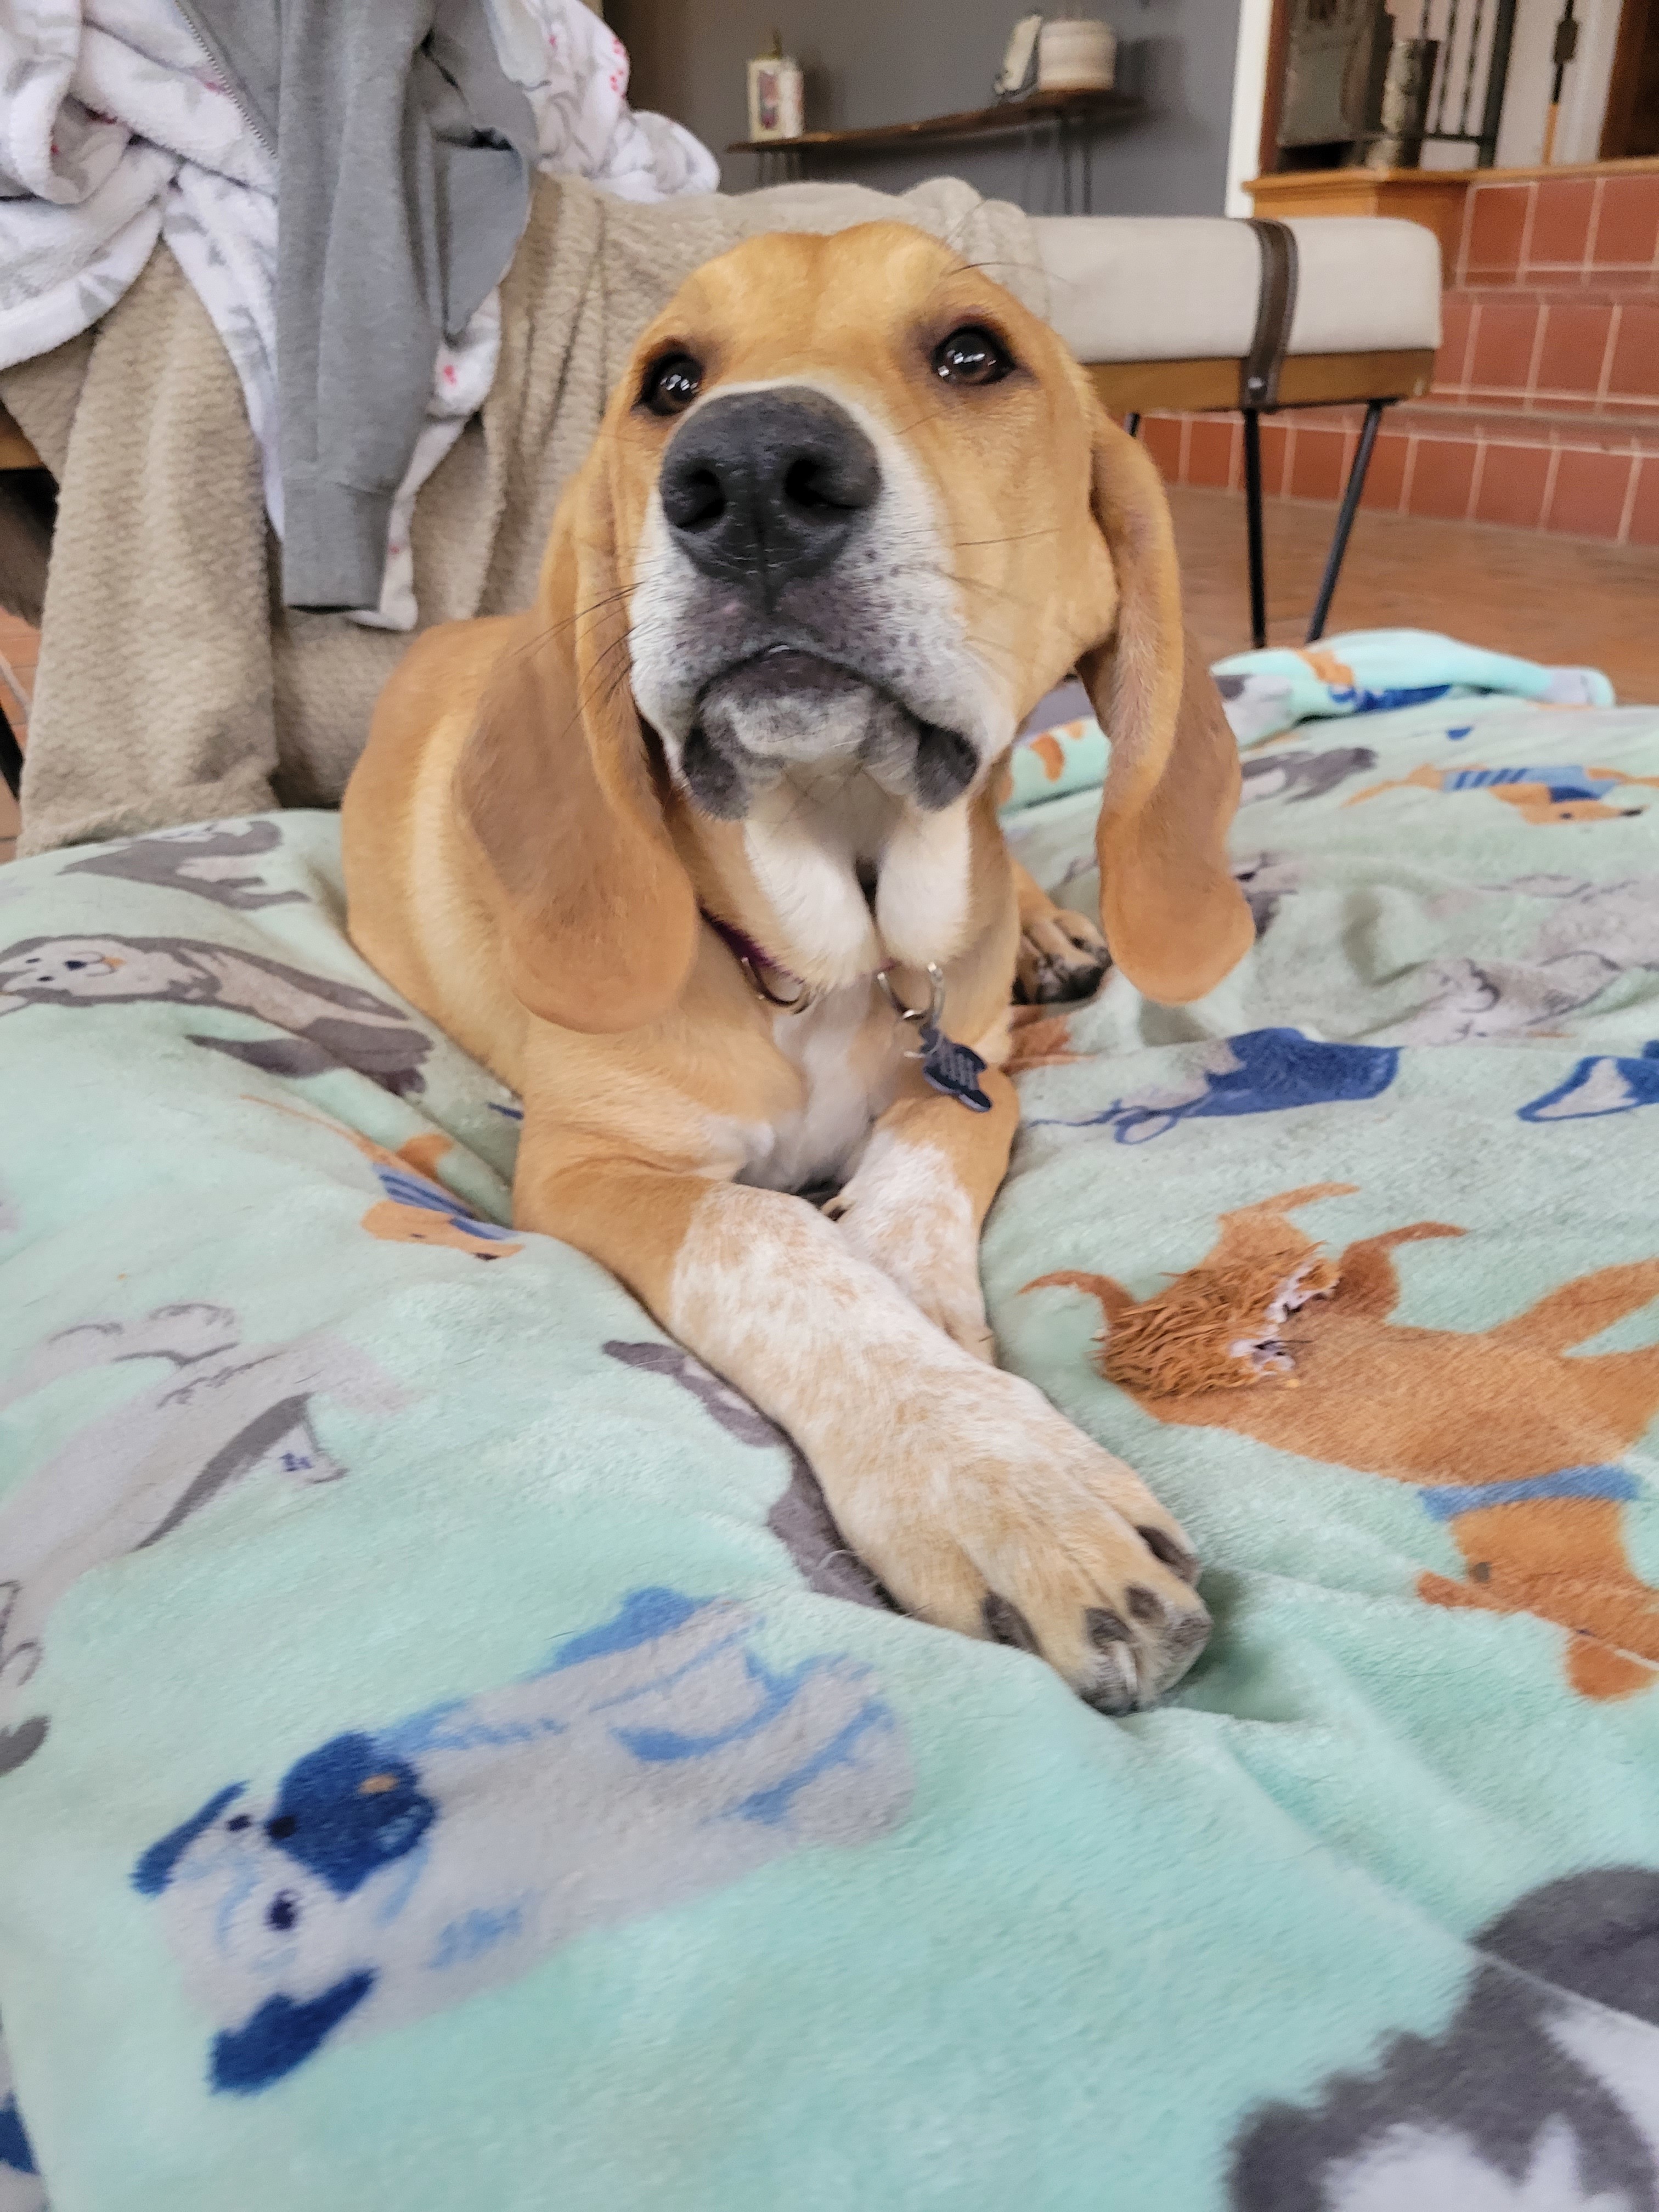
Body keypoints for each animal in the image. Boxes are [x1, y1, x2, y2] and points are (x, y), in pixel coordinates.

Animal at [354, 224, 1256, 1707]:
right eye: (668, 381)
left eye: (973, 354)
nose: (751, 476)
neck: (837, 954)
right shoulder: (586, 1167)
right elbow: (766, 1237)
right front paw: (992, 1472)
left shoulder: (973, 1076)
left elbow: (914, 1177)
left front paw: (943, 1339)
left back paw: (1056, 931)